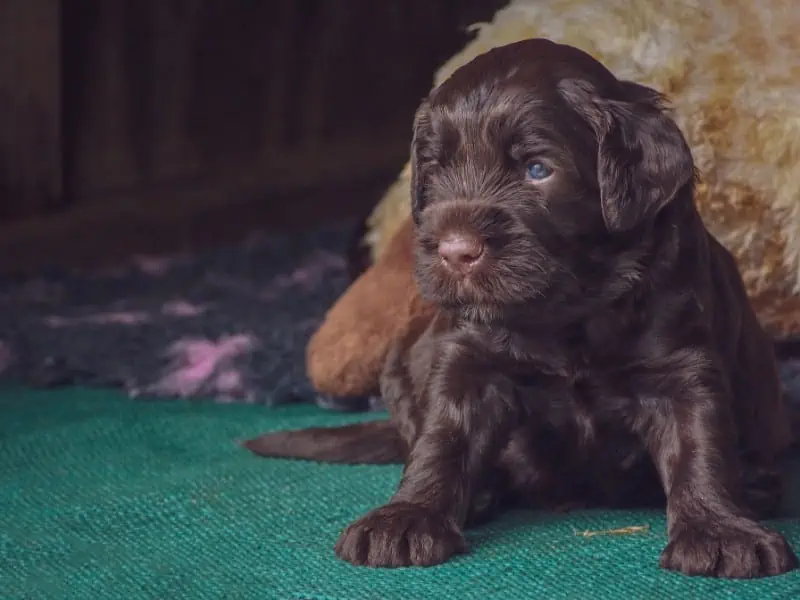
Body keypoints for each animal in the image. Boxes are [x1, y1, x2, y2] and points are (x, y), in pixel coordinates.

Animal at [247, 39, 796, 580]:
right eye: (437, 168)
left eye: (538, 171)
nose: (456, 252)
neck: (567, 310)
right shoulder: (467, 359)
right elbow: (441, 438)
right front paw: (406, 517)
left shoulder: (680, 361)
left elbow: (699, 443)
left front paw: (719, 530)